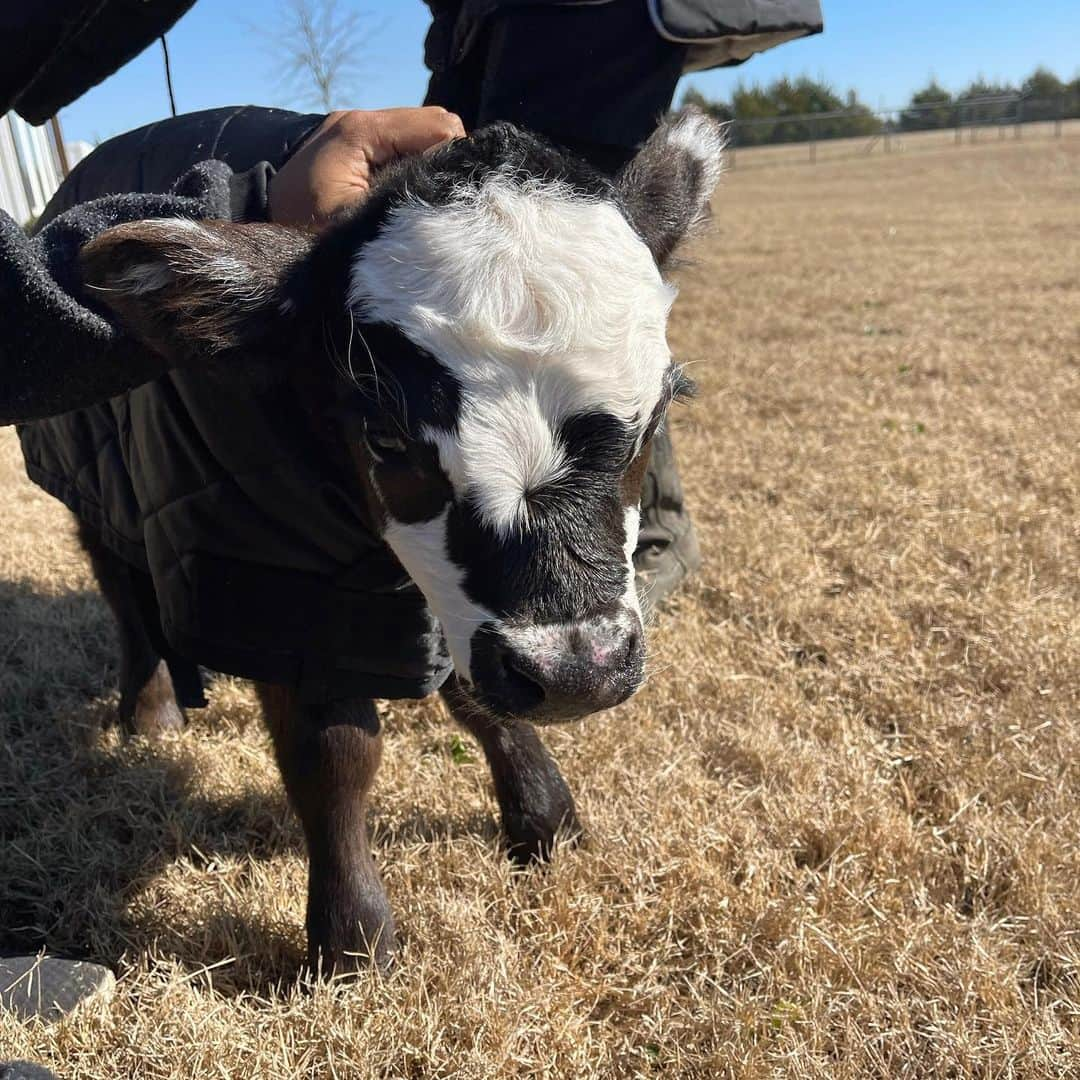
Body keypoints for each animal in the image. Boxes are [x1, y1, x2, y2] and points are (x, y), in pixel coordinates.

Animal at [69, 111, 725, 972]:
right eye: (385, 439)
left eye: (654, 420)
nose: (576, 674)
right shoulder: (273, 588)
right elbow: (334, 753)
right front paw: (353, 938)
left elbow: (475, 695)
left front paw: (545, 817)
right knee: (121, 588)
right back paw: (150, 708)